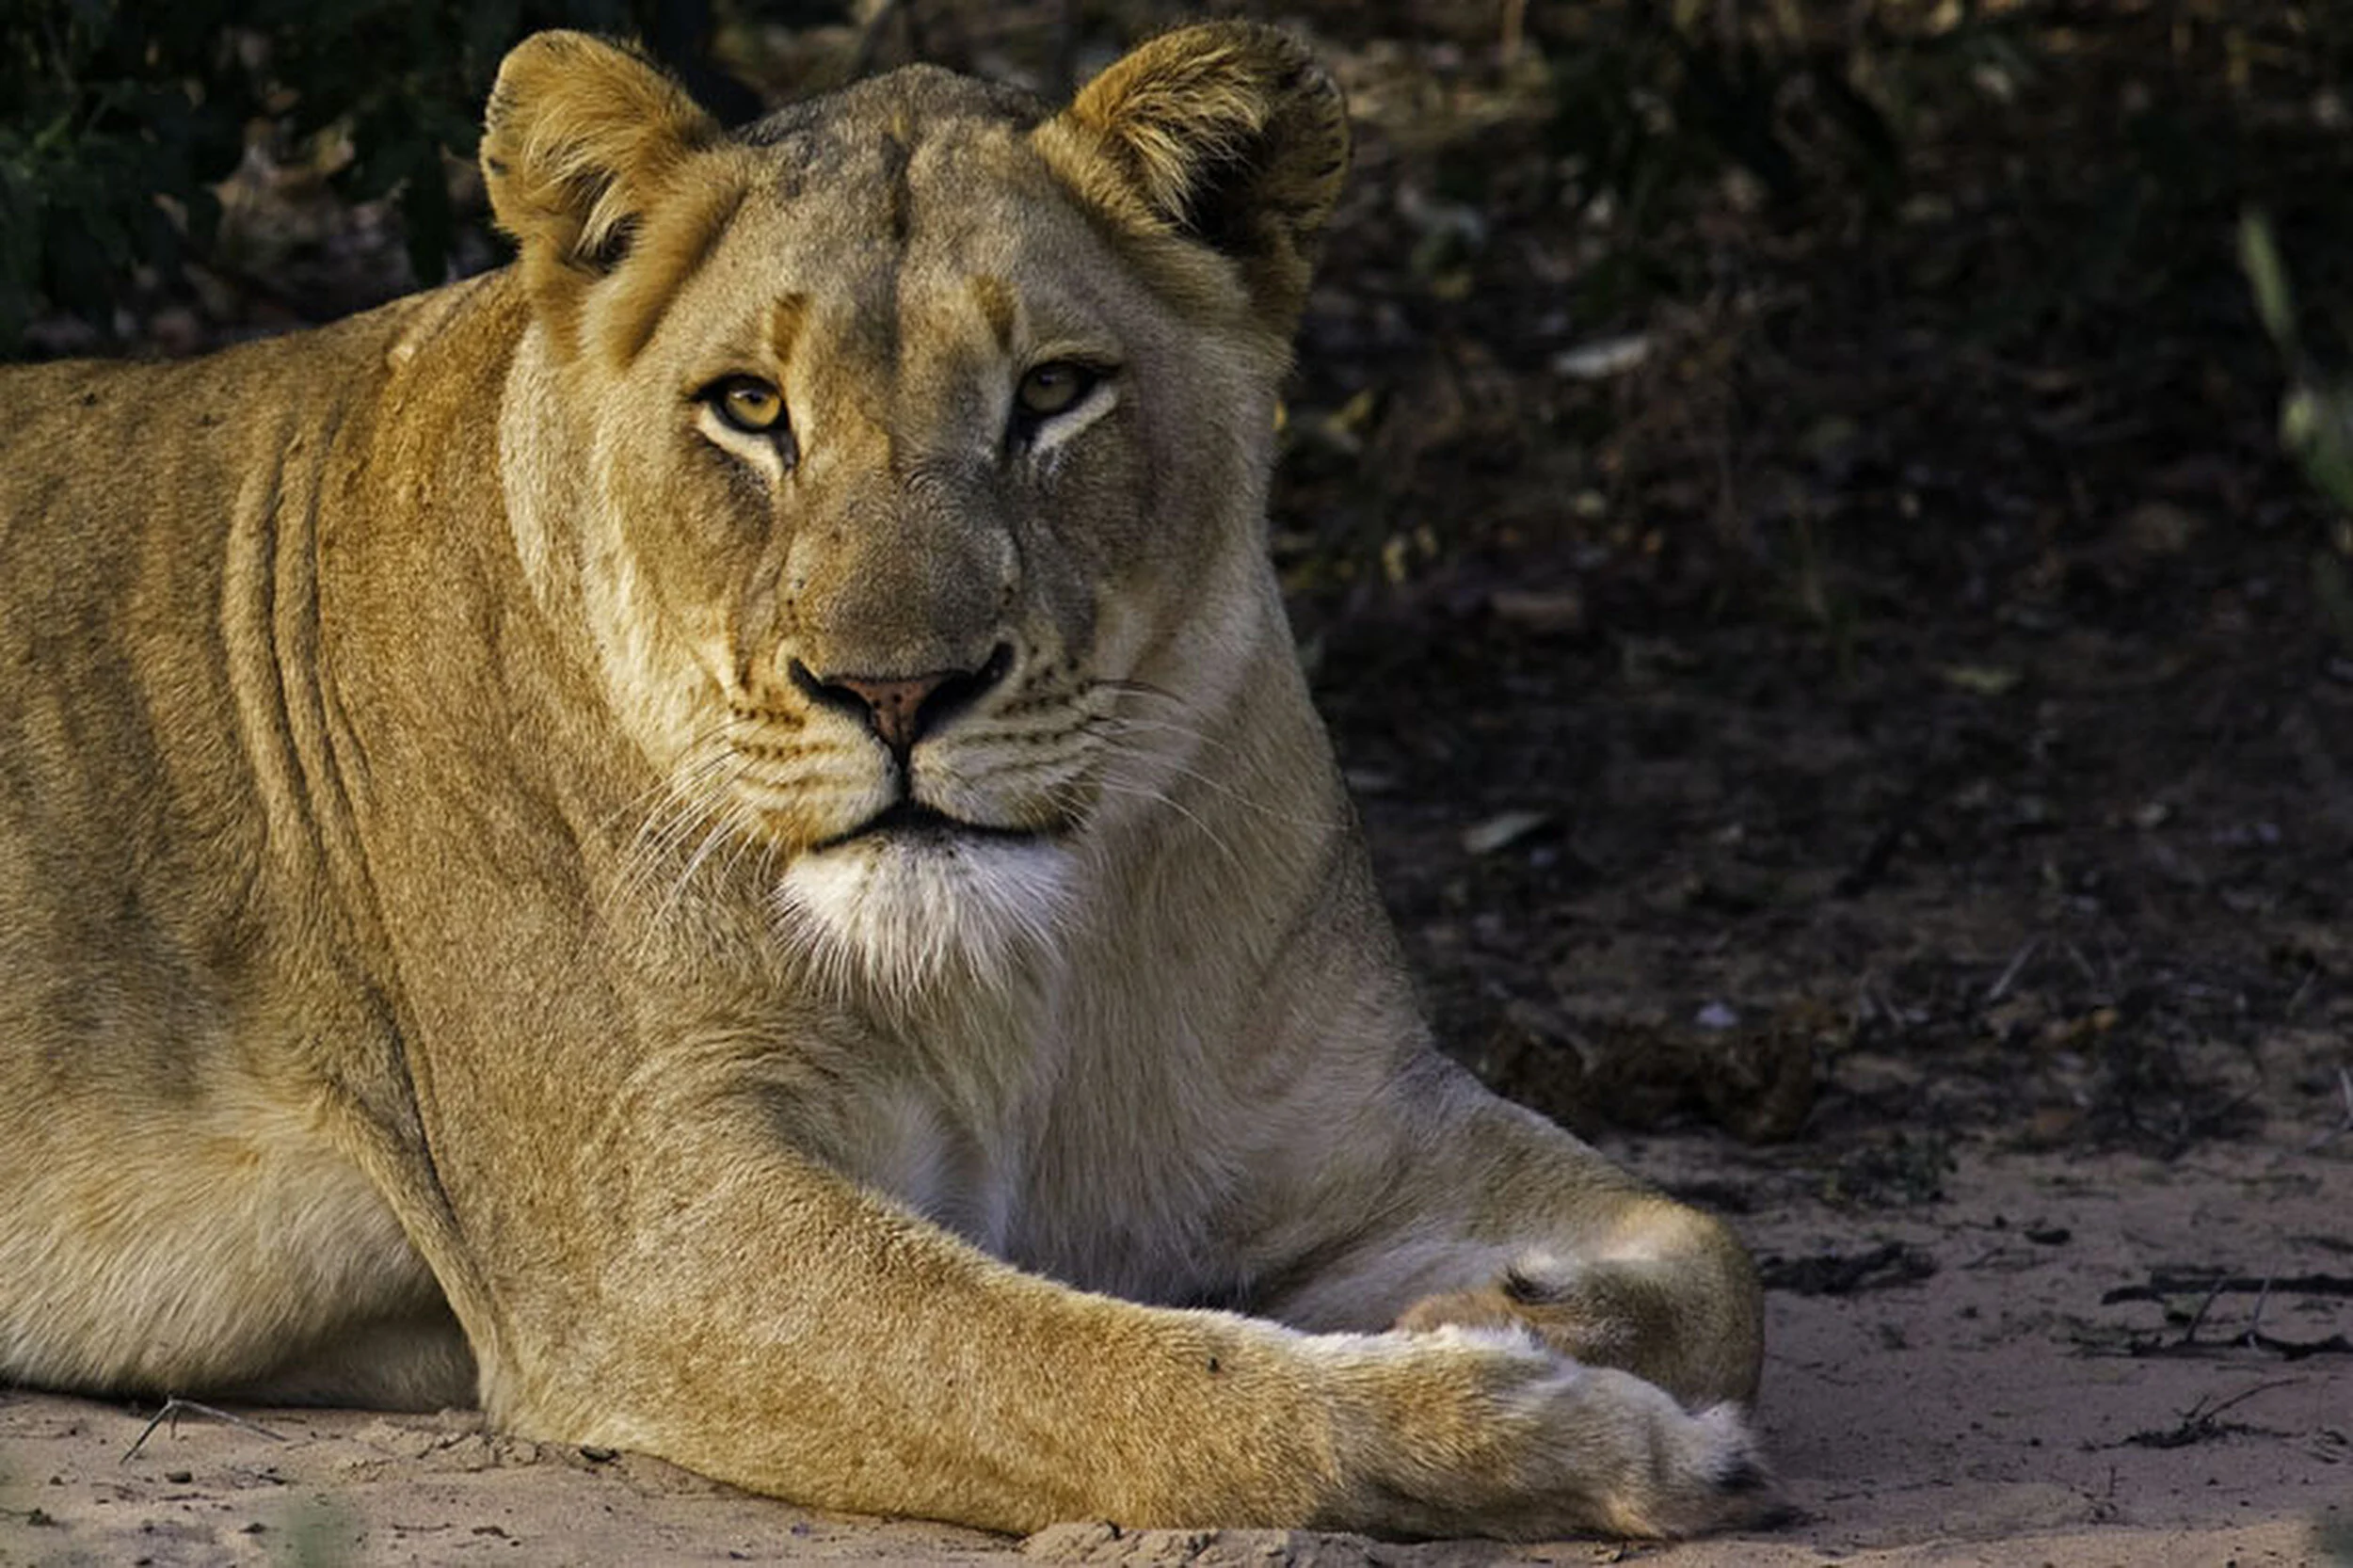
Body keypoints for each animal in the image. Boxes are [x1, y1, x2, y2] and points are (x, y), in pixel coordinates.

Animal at [0, 25, 1772, 1540]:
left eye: (1053, 391)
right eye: (750, 408)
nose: (897, 691)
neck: (1019, 975)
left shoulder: (1346, 1118)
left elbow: (1718, 1257)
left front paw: (1487, 1306)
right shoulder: (646, 1237)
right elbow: (1132, 1382)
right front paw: (1560, 1429)